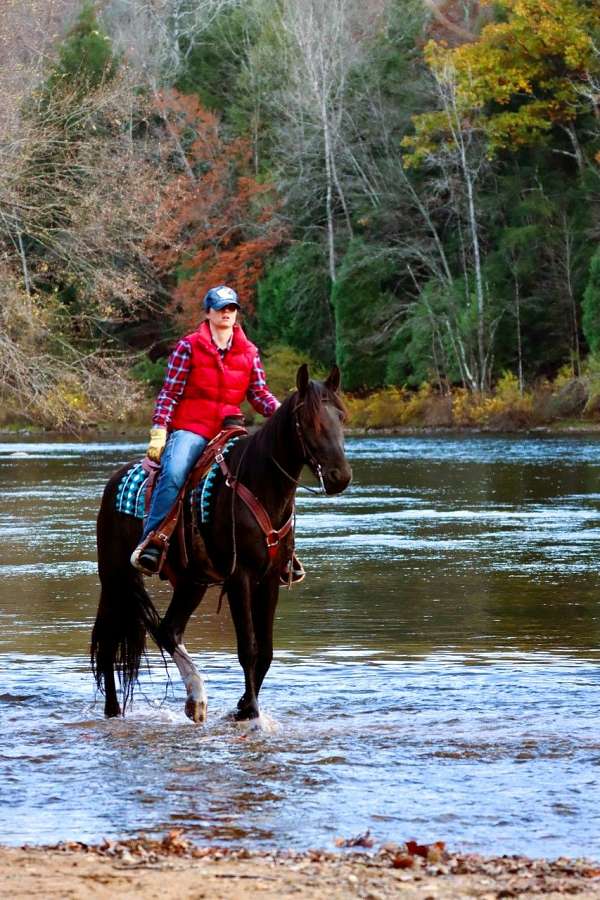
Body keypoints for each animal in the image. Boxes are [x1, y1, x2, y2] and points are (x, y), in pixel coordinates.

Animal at [90, 362, 352, 720]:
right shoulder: (239, 577)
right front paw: (251, 711)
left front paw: (242, 705)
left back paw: (196, 698)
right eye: (310, 421)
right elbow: (248, 648)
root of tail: (114, 480)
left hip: (191, 582)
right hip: (115, 577)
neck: (260, 485)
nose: (341, 477)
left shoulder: (270, 578)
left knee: (167, 630)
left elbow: (266, 650)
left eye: (341, 416)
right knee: (109, 643)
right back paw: (115, 710)